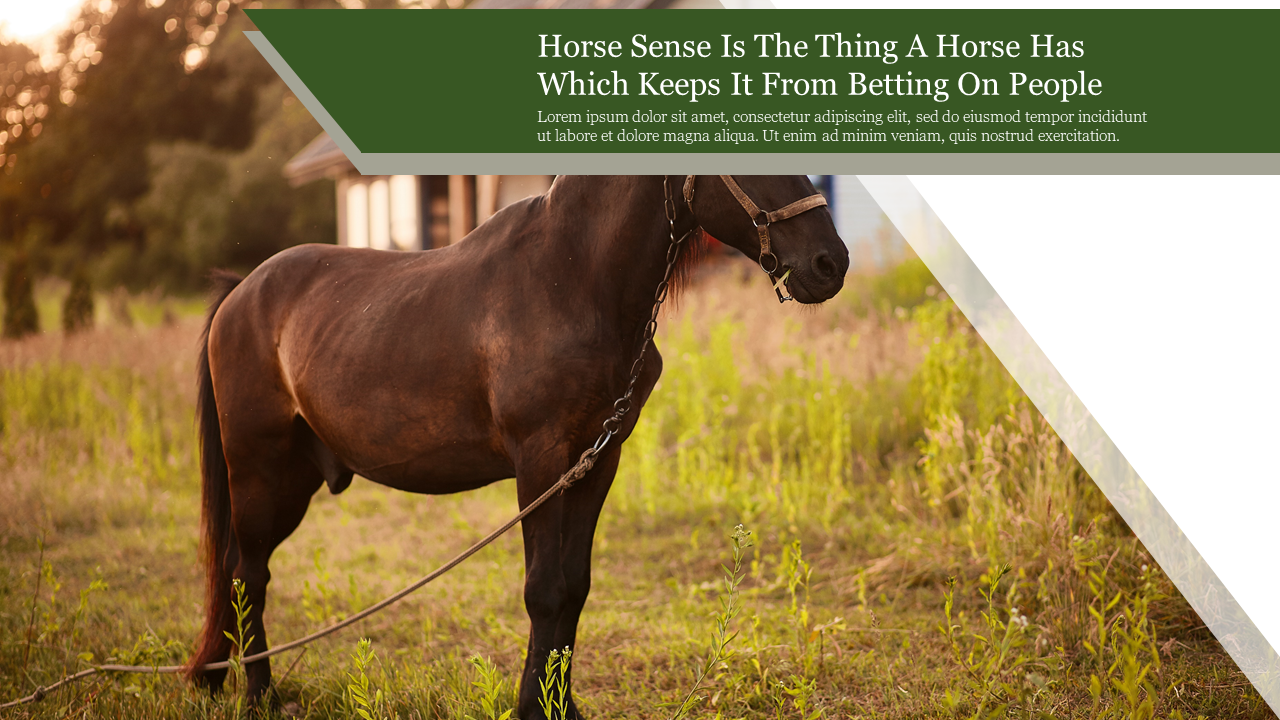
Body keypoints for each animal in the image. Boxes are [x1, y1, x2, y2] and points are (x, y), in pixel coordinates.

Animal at [186, 172, 849, 712]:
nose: (830, 263)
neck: (572, 279)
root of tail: (242, 291)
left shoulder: (596, 463)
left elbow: (574, 589)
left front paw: (563, 706)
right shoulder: (540, 462)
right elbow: (544, 590)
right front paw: (535, 707)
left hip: (293, 478)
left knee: (239, 571)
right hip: (259, 468)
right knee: (248, 576)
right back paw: (260, 696)